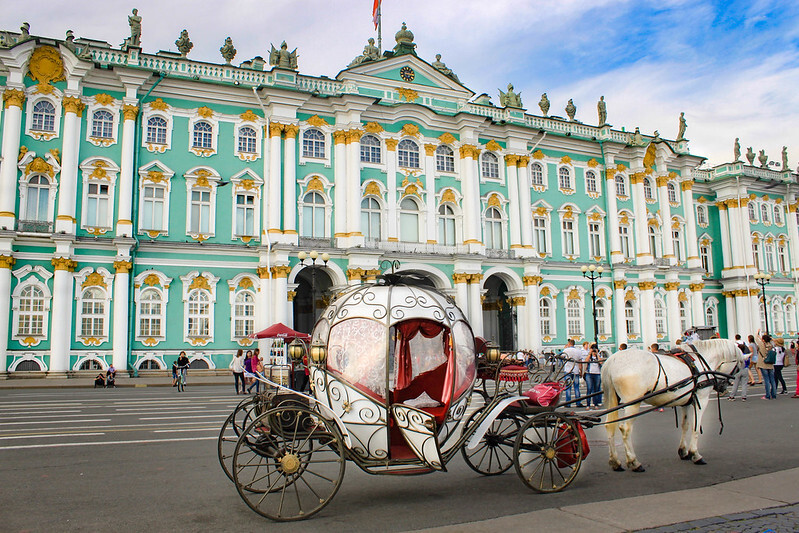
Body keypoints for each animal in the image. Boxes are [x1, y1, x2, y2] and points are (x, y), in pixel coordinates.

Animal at [604, 340, 748, 470]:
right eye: (738, 366)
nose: (723, 387)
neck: (700, 362)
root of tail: (612, 359)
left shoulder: (686, 401)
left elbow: (685, 425)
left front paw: (683, 452)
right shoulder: (701, 399)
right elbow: (696, 427)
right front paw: (695, 455)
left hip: (614, 401)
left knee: (610, 426)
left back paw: (615, 462)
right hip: (633, 403)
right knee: (625, 429)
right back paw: (634, 462)